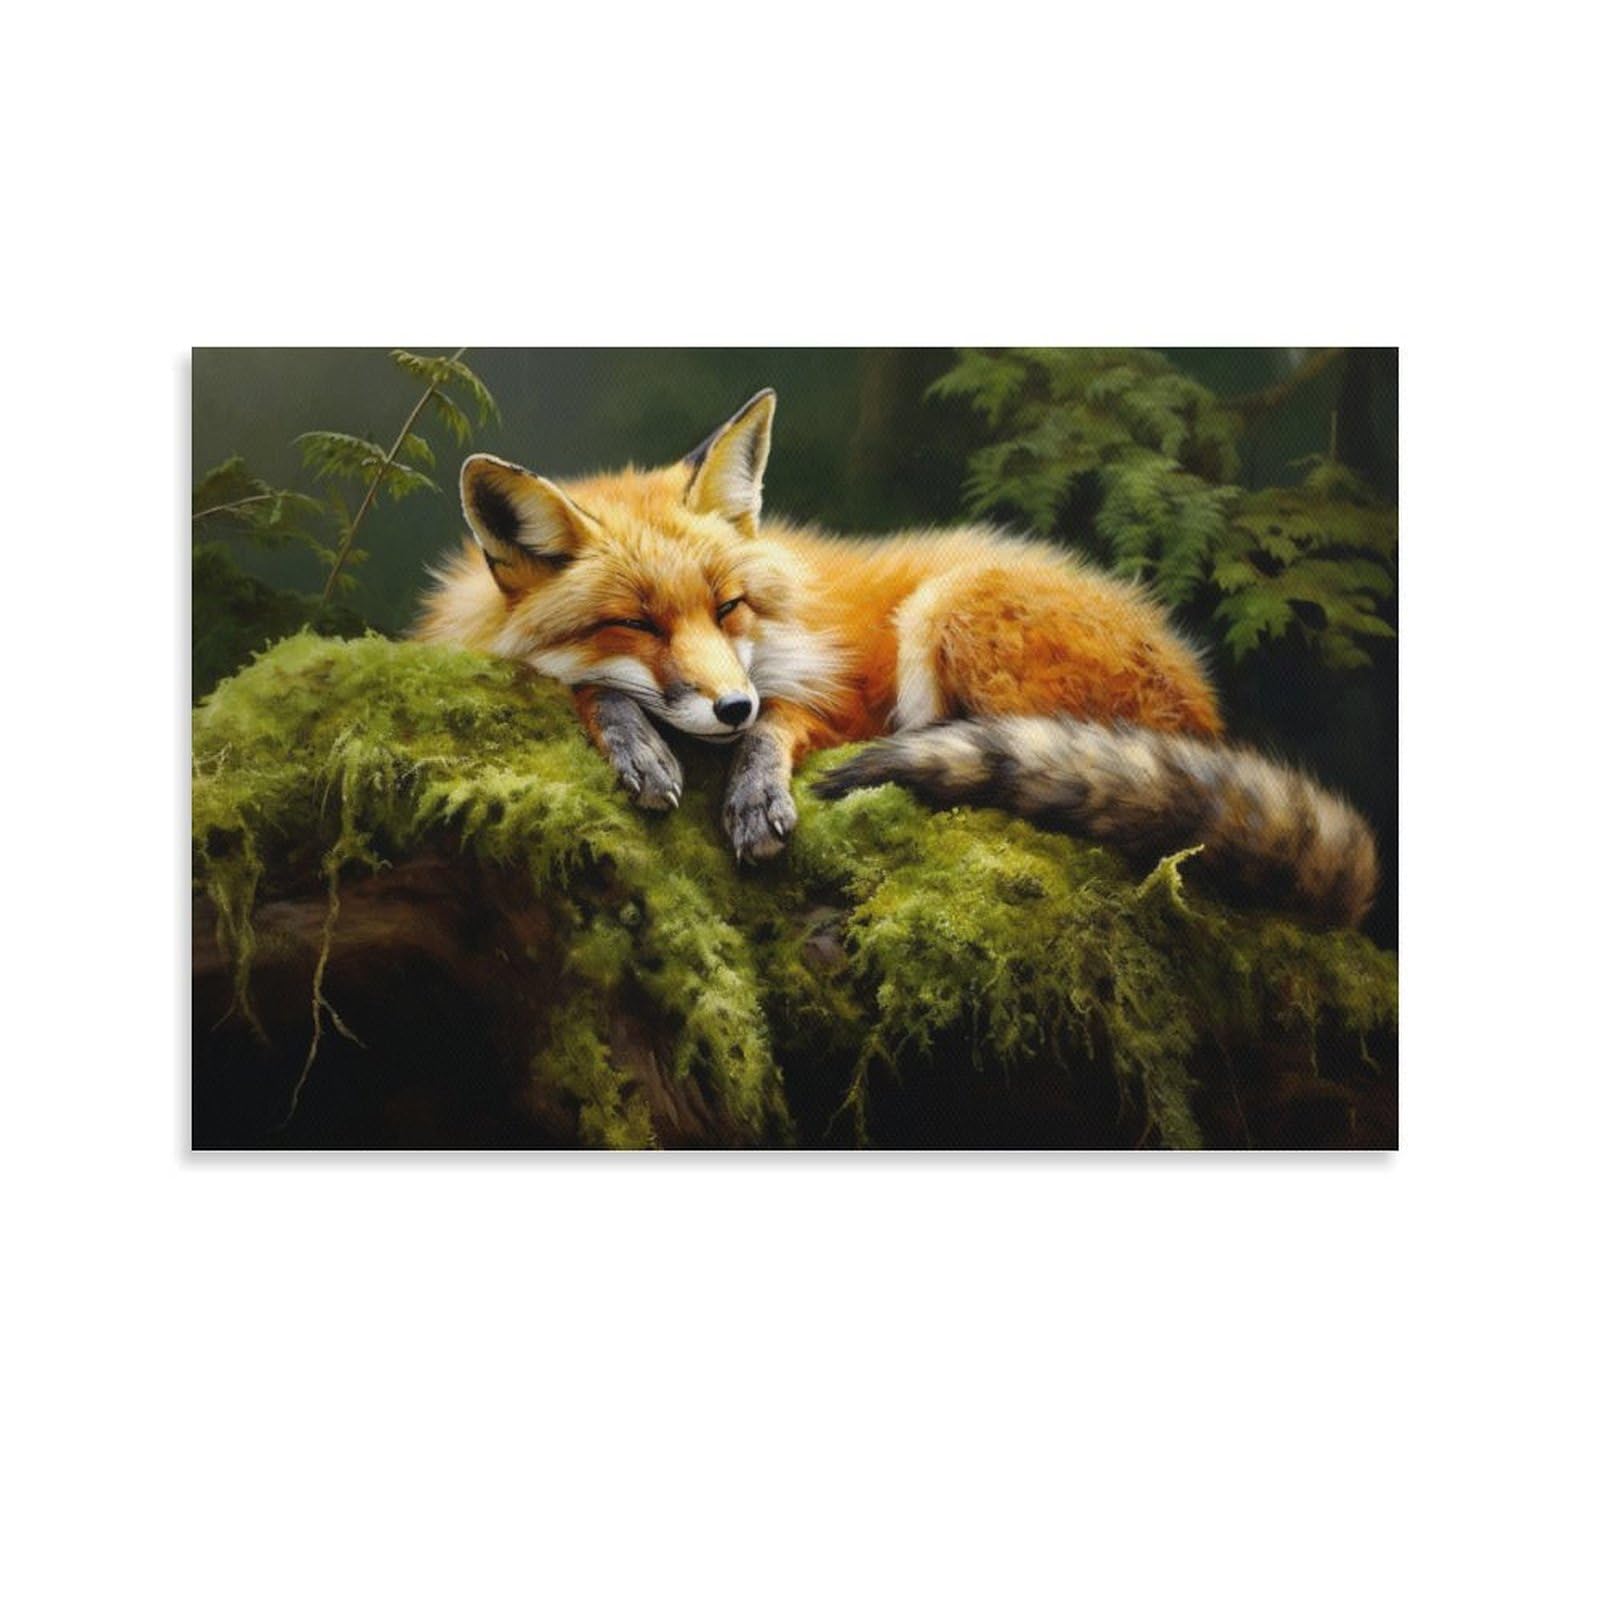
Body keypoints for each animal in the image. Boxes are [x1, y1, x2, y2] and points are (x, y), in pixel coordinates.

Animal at [415, 388, 1378, 927]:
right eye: (636, 625)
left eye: (727, 607)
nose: (731, 706)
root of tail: (1207, 716)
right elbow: (596, 692)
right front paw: (636, 738)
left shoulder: (840, 697)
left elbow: (783, 729)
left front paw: (755, 789)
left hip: (951, 609)